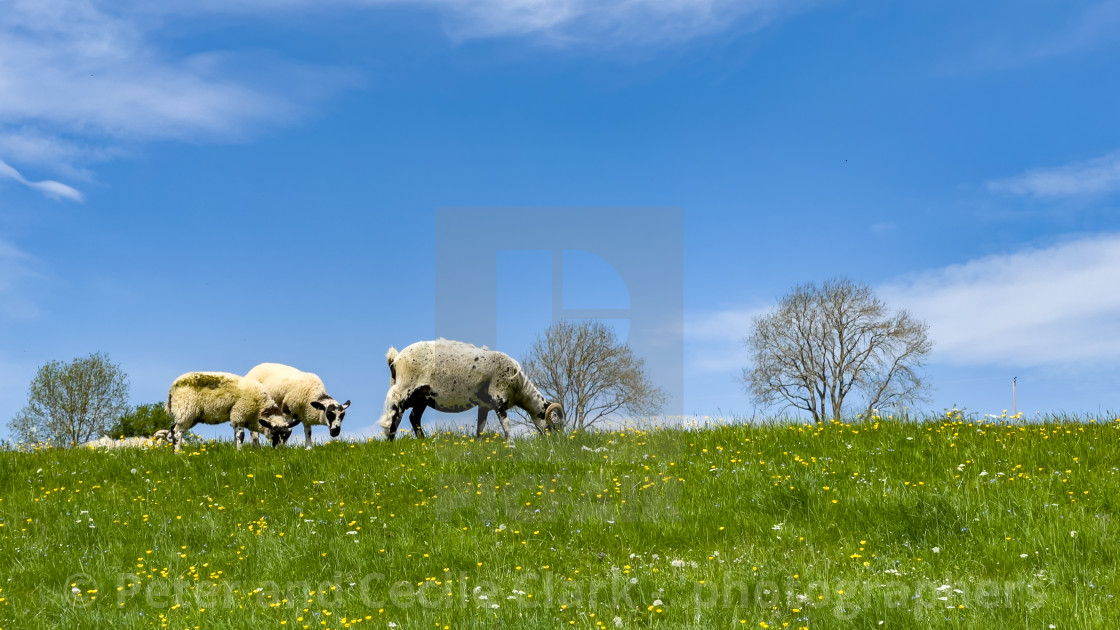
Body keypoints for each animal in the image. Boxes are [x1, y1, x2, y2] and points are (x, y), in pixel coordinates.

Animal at [163, 367, 300, 450]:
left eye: (286, 435)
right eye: (275, 434)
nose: (279, 450)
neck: (259, 409)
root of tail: (172, 389)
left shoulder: (237, 418)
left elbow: (235, 436)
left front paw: (236, 451)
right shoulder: (239, 414)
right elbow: (241, 436)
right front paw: (240, 452)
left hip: (190, 415)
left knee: (172, 431)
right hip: (185, 410)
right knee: (176, 431)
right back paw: (178, 453)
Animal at [378, 338, 568, 441]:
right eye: (555, 425)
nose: (557, 442)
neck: (519, 387)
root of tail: (396, 358)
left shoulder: (484, 405)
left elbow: (480, 428)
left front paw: (478, 444)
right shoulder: (499, 400)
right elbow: (506, 426)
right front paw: (511, 445)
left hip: (422, 396)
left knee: (414, 418)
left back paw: (423, 442)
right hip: (405, 388)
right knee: (394, 415)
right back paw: (391, 442)